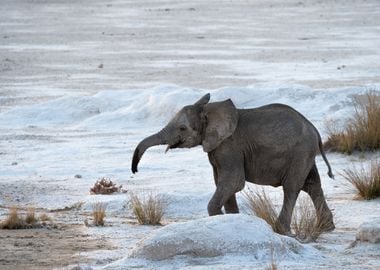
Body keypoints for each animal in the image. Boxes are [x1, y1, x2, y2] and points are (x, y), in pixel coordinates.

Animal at [132, 94, 334, 233]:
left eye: (182, 128)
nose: (134, 171)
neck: (209, 110)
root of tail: (314, 130)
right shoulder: (217, 148)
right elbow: (222, 182)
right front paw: (232, 219)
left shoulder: (229, 146)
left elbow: (233, 181)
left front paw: (219, 217)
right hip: (304, 154)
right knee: (312, 185)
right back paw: (326, 227)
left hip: (300, 153)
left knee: (291, 187)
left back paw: (281, 230)